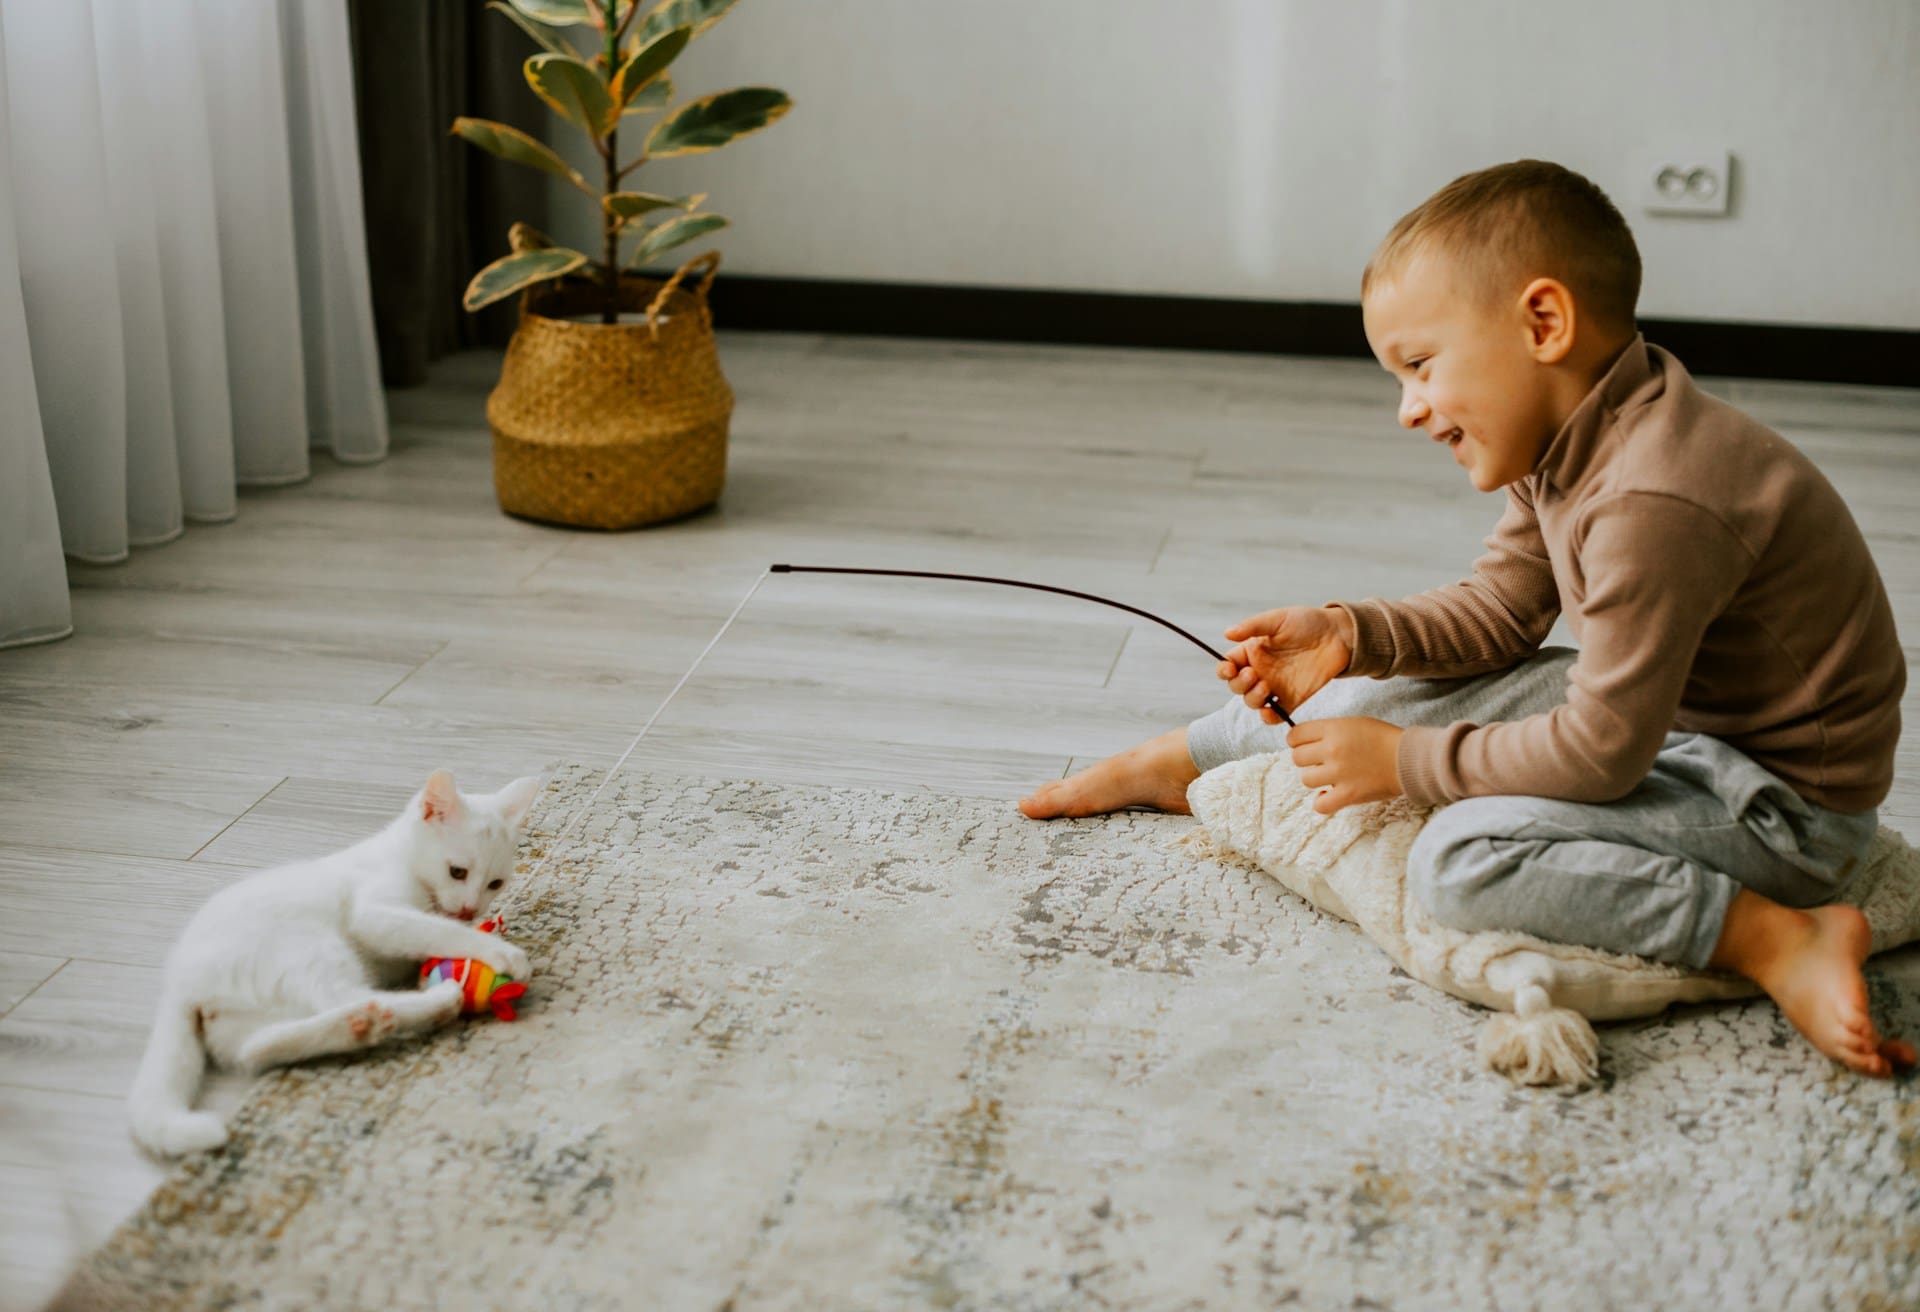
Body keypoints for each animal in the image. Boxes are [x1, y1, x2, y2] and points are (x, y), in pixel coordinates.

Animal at [129, 768, 541, 1160]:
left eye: (495, 884)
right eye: (457, 872)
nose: (471, 909)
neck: (402, 858)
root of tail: (180, 980)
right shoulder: (373, 913)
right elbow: (436, 930)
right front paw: (499, 951)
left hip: (244, 1017)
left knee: (257, 1048)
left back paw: (360, 1026)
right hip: (308, 945)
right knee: (340, 995)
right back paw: (434, 1003)